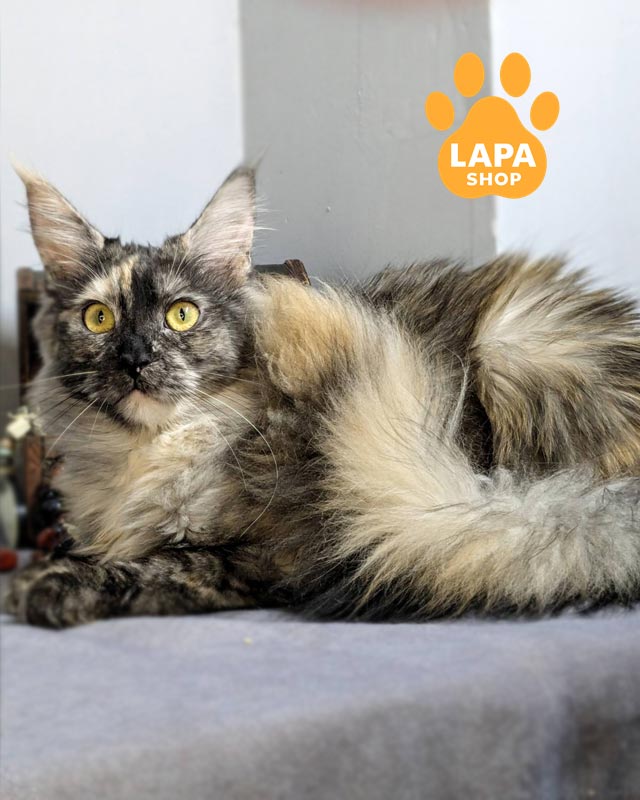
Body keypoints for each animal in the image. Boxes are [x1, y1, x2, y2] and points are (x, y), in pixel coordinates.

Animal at [5, 164, 640, 628]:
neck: (147, 455)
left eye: (181, 314)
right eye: (99, 318)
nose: (136, 359)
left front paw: (50, 587)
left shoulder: (274, 552)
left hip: (515, 346)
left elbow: (162, 565)